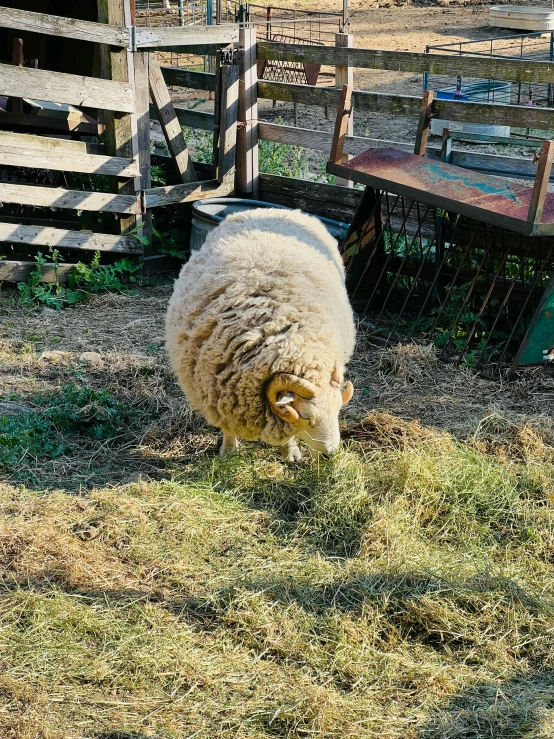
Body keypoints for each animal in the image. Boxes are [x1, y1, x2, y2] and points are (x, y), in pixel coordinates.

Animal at [165, 208, 354, 460]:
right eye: (306, 416)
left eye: (337, 412)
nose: (330, 455)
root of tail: (276, 209)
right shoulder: (217, 394)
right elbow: (227, 426)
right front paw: (229, 450)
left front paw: (290, 451)